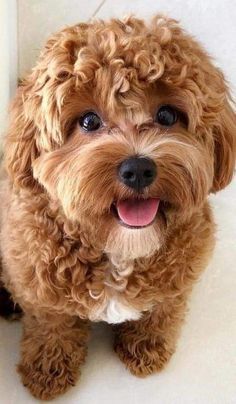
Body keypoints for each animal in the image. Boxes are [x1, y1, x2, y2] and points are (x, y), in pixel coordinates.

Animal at [0, 14, 235, 400]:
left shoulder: (179, 278)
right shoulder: (40, 285)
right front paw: (48, 370)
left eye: (167, 115)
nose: (138, 168)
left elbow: (162, 312)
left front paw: (146, 347)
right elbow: (52, 327)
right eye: (89, 121)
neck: (119, 250)